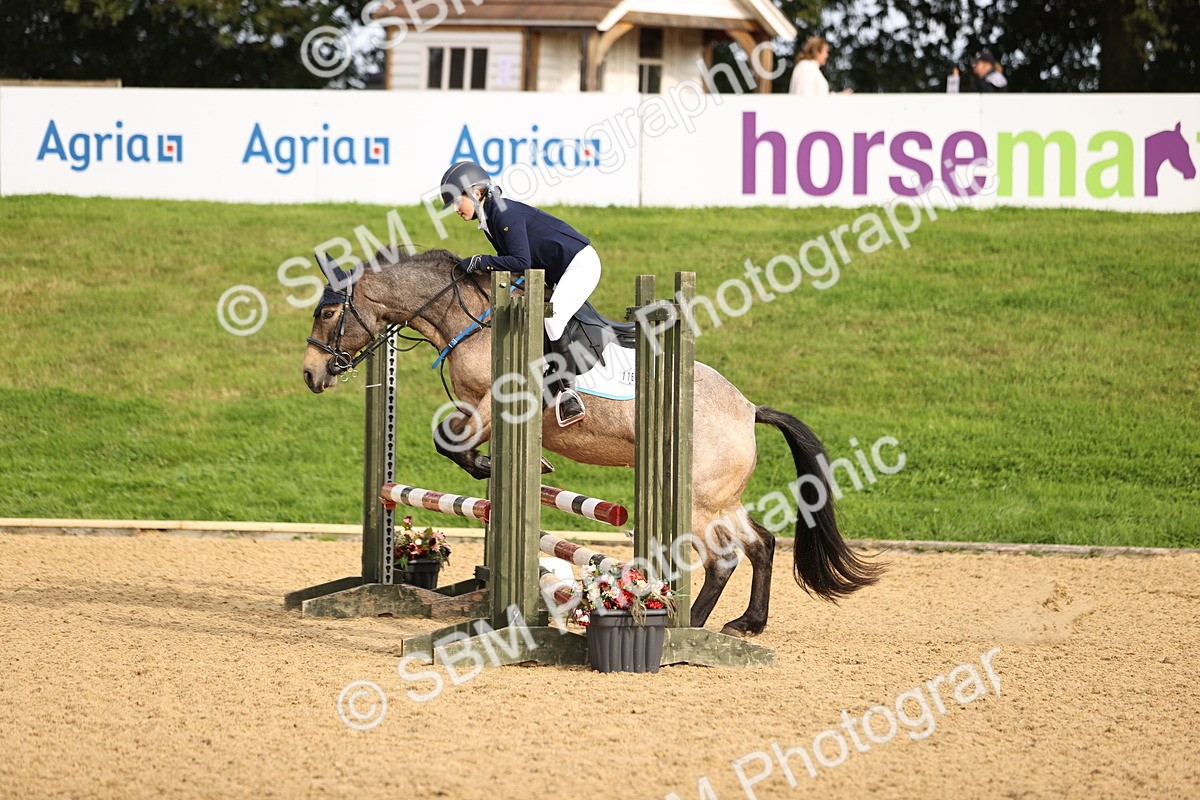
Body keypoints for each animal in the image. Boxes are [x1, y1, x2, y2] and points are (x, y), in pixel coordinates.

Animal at [302, 248, 881, 637]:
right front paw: (501, 470)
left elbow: (452, 443)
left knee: (726, 556)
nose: (310, 374)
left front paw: (500, 466)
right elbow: (451, 441)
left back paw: (689, 621)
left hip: (699, 500)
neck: (470, 321)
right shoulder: (474, 404)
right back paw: (744, 623)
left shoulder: (497, 403)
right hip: (719, 498)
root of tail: (747, 408)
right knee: (760, 542)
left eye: (327, 313)